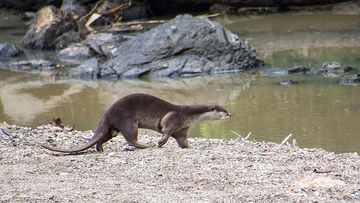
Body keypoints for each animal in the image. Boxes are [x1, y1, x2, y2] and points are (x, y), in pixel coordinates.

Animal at [41, 93, 231, 153]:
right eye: (224, 110)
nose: (230, 114)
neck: (189, 115)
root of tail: (106, 114)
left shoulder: (182, 128)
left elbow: (182, 140)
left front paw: (188, 147)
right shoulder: (173, 118)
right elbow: (166, 130)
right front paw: (160, 142)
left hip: (112, 129)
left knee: (103, 138)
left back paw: (101, 150)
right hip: (128, 120)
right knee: (131, 139)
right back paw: (147, 145)